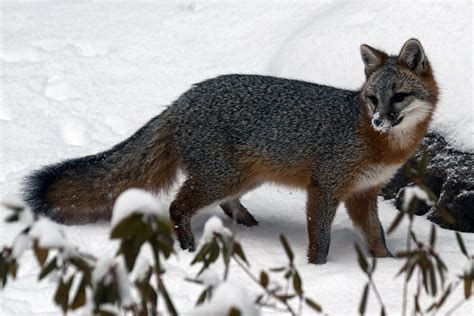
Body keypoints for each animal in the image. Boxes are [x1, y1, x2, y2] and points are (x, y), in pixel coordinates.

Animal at [22, 39, 436, 264]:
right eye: (373, 99)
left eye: (398, 97)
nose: (380, 120)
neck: (378, 143)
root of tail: (184, 98)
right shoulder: (325, 188)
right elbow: (320, 241)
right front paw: (319, 270)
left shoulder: (362, 194)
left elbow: (376, 236)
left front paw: (387, 266)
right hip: (223, 177)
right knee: (177, 206)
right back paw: (188, 247)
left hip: (244, 177)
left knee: (220, 203)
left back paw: (244, 221)